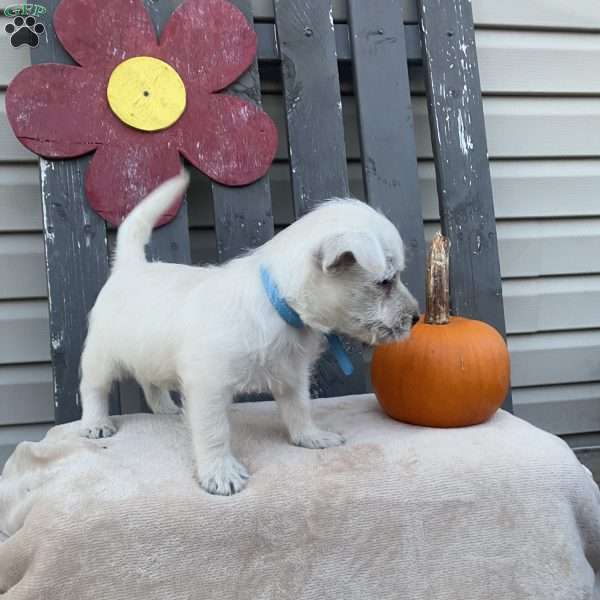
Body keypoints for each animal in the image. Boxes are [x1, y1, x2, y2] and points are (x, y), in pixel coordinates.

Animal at [78, 171, 418, 494]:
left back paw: (165, 409)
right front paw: (220, 472)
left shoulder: (292, 375)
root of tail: (129, 267)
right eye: (385, 281)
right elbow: (214, 432)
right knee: (93, 388)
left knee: (151, 383)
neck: (277, 301)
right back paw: (96, 423)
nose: (415, 317)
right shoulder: (209, 386)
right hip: (101, 356)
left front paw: (310, 436)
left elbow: (299, 408)